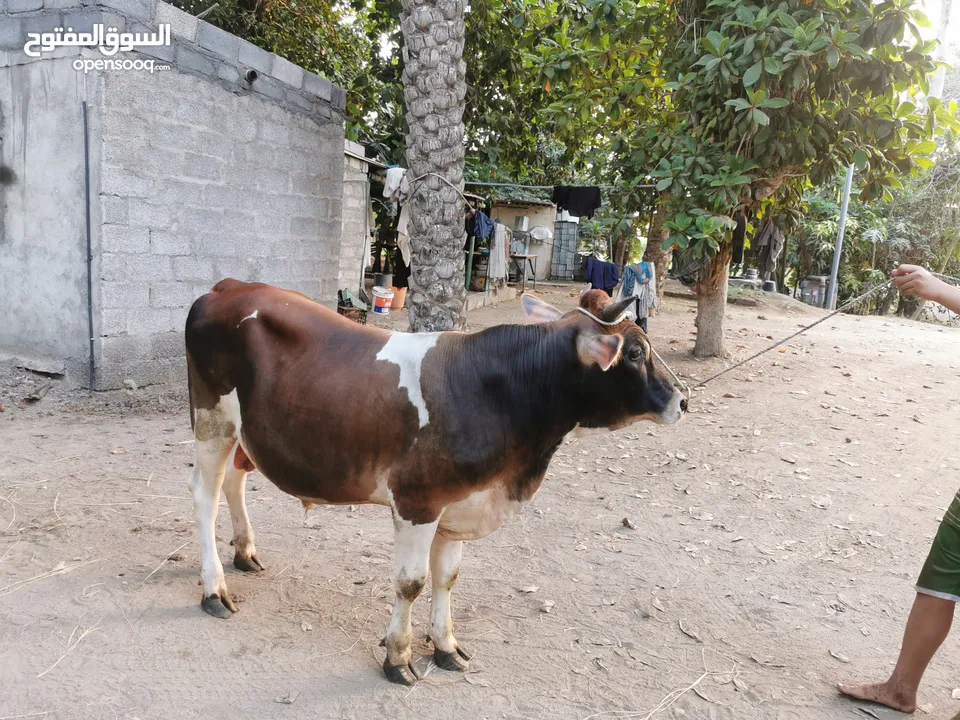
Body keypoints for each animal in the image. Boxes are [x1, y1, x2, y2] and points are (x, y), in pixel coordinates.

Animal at [184, 278, 688, 684]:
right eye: (636, 352)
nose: (682, 400)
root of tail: (228, 287)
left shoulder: (458, 502)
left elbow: (448, 577)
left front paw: (445, 647)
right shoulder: (418, 501)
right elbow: (411, 582)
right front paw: (397, 657)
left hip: (245, 432)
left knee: (234, 482)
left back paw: (245, 552)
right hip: (212, 421)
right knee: (205, 497)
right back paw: (214, 589)